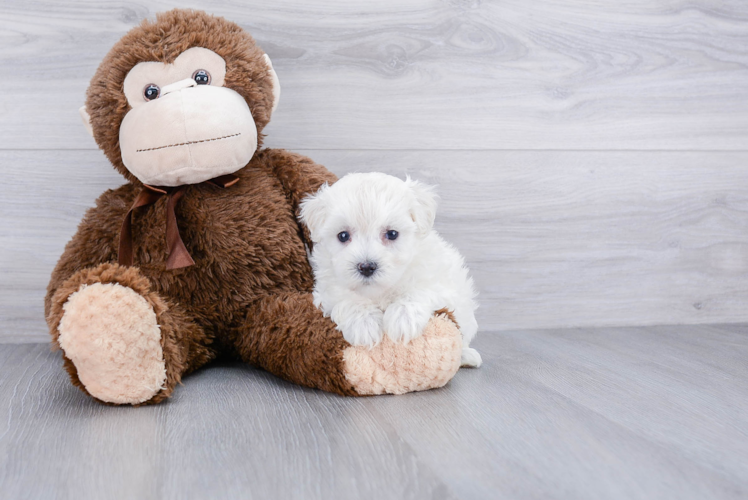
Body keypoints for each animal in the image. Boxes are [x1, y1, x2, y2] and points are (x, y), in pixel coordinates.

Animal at [300, 172, 482, 368]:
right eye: (343, 236)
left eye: (392, 234)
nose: (366, 267)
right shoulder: (327, 289)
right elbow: (345, 297)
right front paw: (364, 323)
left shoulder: (442, 285)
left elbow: (420, 290)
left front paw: (403, 318)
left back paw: (467, 355)